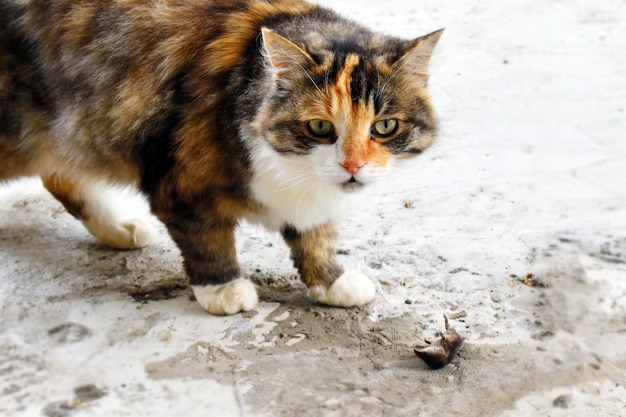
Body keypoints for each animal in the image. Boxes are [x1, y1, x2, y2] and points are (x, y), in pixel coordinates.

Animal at [0, 0, 438, 314]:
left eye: (384, 126)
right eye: (319, 128)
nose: (352, 167)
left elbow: (317, 236)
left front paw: (330, 280)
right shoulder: (180, 184)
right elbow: (207, 240)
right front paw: (223, 289)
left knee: (58, 174)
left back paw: (119, 229)